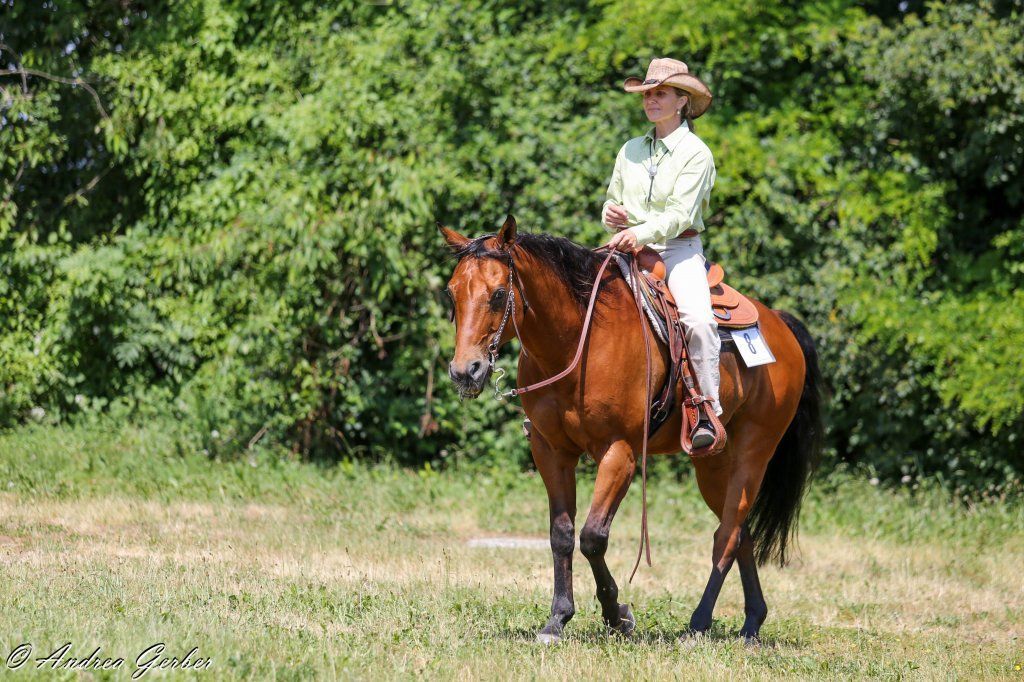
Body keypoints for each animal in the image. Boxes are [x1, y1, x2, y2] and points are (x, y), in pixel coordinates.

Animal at [440, 215, 823, 644]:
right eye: (451, 294)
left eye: (498, 293)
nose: (464, 371)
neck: (579, 340)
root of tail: (780, 325)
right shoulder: (551, 451)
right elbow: (562, 534)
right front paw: (558, 618)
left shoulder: (619, 452)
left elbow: (592, 537)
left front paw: (617, 615)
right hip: (712, 464)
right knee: (740, 532)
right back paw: (752, 623)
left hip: (753, 455)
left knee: (726, 536)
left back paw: (699, 622)